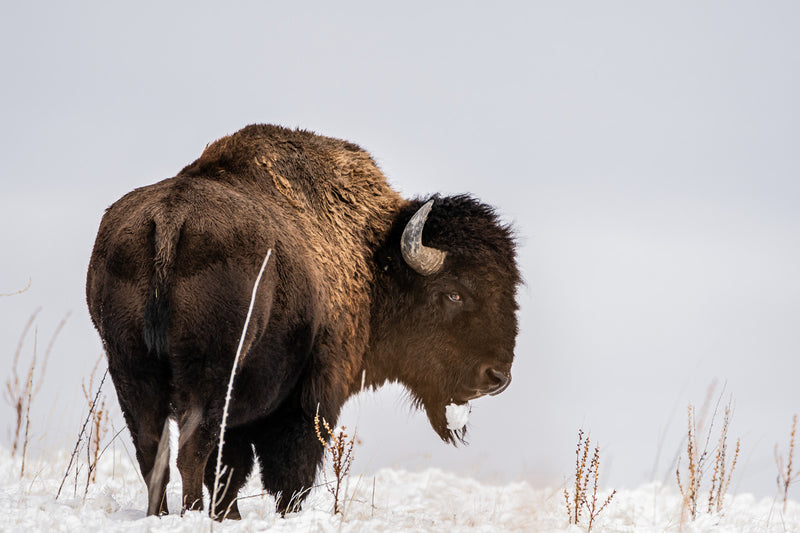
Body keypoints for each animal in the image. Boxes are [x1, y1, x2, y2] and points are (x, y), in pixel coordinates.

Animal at [86, 124, 520, 519]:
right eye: (454, 293)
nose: (496, 377)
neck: (375, 258)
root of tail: (170, 219)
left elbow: (231, 470)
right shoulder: (313, 394)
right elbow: (288, 470)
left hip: (130, 368)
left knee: (153, 451)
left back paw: (159, 515)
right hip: (209, 375)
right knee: (193, 450)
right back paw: (189, 514)